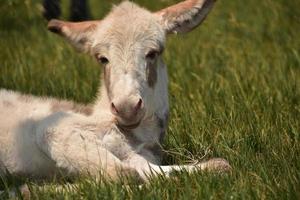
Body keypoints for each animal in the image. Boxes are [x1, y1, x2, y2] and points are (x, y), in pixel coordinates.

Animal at [0, 0, 231, 184]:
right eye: (102, 58)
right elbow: (124, 174)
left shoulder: (137, 155)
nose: (127, 108)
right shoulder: (53, 129)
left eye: (152, 53)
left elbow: (219, 166)